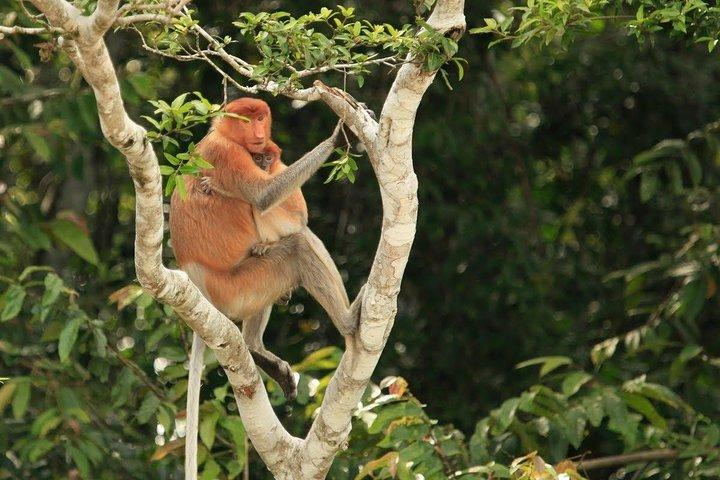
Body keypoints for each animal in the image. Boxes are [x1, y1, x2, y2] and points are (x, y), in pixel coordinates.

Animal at [168, 97, 362, 479]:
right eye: (248, 120)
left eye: (262, 118)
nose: (259, 138)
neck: (223, 134)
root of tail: (199, 283)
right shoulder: (227, 153)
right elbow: (264, 197)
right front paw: (339, 133)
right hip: (238, 285)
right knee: (298, 245)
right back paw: (349, 322)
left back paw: (255, 348)